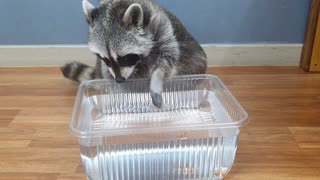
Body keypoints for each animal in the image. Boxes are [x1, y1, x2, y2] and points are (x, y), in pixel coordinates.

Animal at [61, 0, 208, 107]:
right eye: (105, 59)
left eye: (124, 57)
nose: (119, 80)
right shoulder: (106, 66)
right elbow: (107, 72)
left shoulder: (161, 27)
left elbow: (168, 58)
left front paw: (156, 80)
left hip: (194, 58)